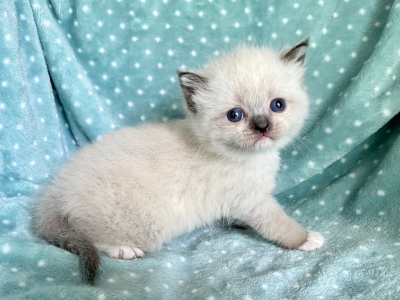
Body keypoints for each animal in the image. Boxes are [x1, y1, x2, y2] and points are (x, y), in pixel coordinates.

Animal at [31, 39, 324, 284]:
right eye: (235, 115)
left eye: (277, 105)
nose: (262, 127)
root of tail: (60, 186)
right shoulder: (254, 201)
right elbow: (279, 224)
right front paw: (305, 239)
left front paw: (238, 223)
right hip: (145, 225)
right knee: (87, 233)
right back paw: (122, 249)